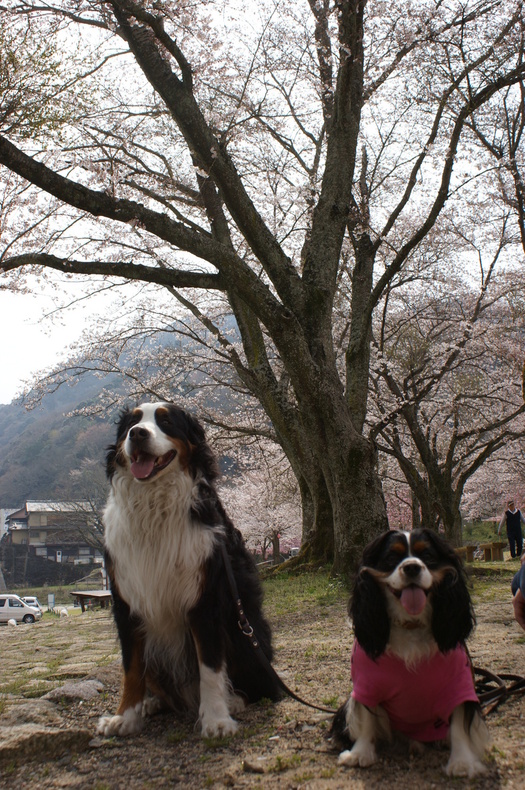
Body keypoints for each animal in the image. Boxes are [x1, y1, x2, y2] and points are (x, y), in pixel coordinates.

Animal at [96, 402, 280, 744]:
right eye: (131, 423)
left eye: (167, 422)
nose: (137, 434)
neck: (153, 505)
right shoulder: (126, 602)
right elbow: (131, 669)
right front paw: (124, 717)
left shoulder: (205, 599)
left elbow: (210, 666)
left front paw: (217, 719)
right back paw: (152, 703)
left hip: (245, 631)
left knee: (263, 686)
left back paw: (235, 699)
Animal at [330, 532, 490, 780]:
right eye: (391, 558)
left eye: (427, 555)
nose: (412, 567)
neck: (410, 623)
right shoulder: (366, 685)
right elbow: (366, 719)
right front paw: (360, 754)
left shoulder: (460, 684)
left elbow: (459, 723)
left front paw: (462, 762)